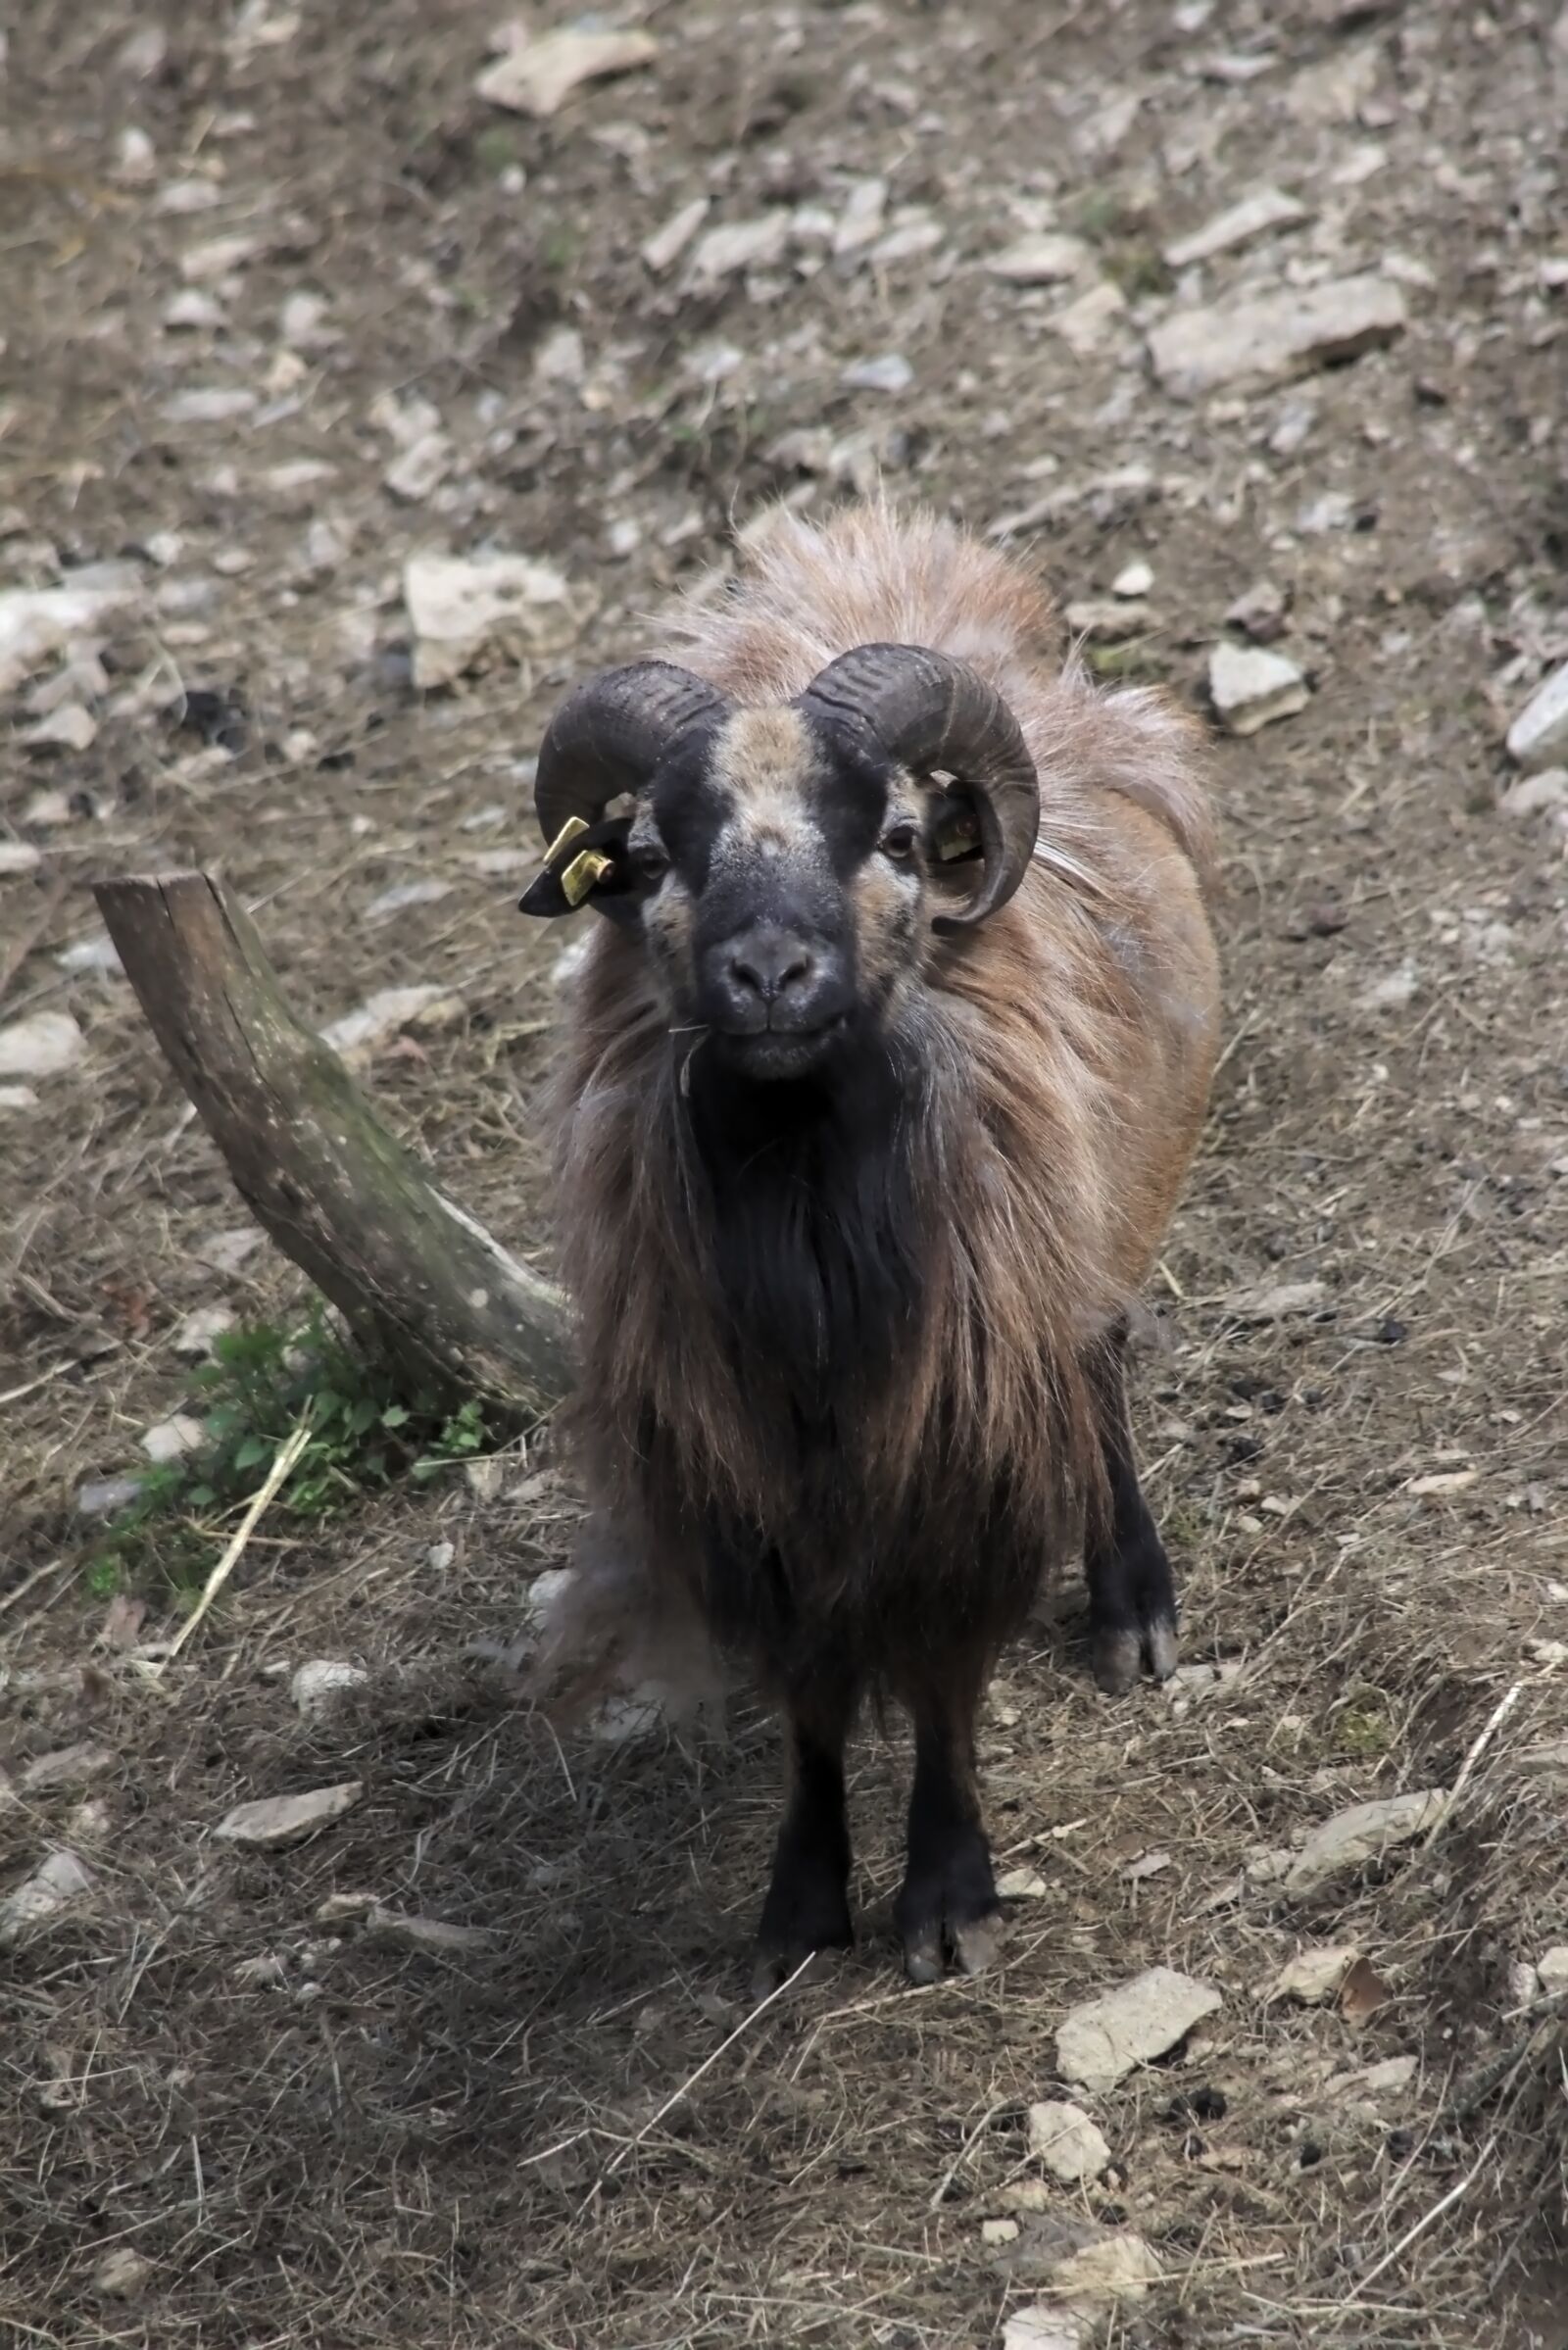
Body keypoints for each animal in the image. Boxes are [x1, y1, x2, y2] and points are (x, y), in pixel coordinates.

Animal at [518, 505, 1220, 1990]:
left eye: (897, 837)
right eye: (651, 859)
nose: (769, 976)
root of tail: (883, 555)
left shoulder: (960, 1432)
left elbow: (943, 1673)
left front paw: (948, 1894)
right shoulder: (745, 1474)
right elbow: (808, 1698)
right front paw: (799, 1902)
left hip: (1088, 1236)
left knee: (1097, 1372)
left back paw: (1132, 1605)